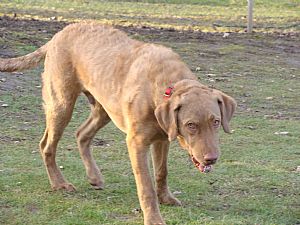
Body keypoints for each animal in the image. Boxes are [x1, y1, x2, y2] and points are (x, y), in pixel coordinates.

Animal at [0, 23, 237, 225]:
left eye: (216, 122)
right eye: (191, 125)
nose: (212, 159)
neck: (166, 87)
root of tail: (59, 34)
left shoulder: (162, 139)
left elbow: (162, 172)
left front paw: (166, 198)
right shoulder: (137, 143)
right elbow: (146, 186)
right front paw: (153, 218)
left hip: (104, 109)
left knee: (81, 134)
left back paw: (94, 177)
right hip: (62, 105)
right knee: (46, 145)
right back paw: (59, 184)